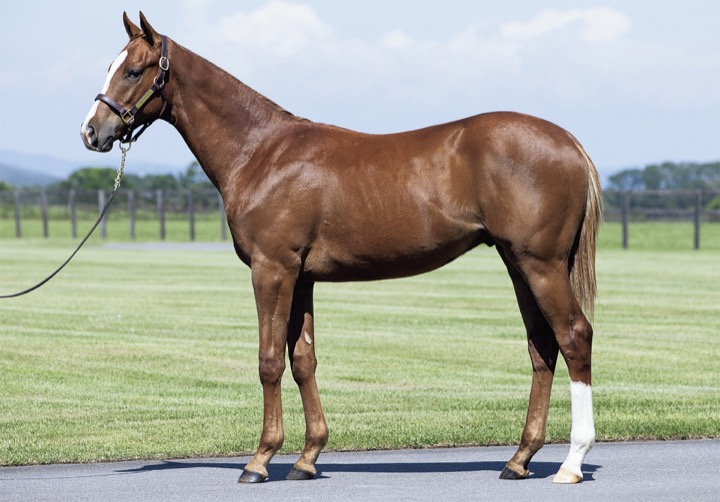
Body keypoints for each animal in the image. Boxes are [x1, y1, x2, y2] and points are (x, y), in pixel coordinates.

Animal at [81, 12, 602, 485]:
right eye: (110, 65)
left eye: (133, 70)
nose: (91, 131)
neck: (261, 152)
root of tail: (570, 143)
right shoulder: (301, 277)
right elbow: (303, 361)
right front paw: (308, 458)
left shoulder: (272, 270)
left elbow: (269, 361)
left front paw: (260, 460)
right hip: (518, 263)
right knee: (542, 348)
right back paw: (519, 460)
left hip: (541, 264)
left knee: (574, 336)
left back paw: (571, 463)